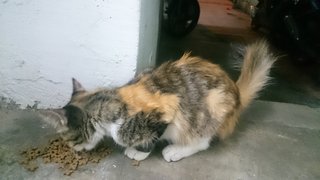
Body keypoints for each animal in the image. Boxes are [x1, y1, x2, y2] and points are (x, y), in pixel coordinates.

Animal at [39, 40, 276, 162]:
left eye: (68, 139)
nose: (73, 150)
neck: (110, 100)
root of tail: (236, 92)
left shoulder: (167, 109)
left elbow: (150, 137)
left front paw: (138, 152)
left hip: (213, 106)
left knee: (202, 141)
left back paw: (177, 150)